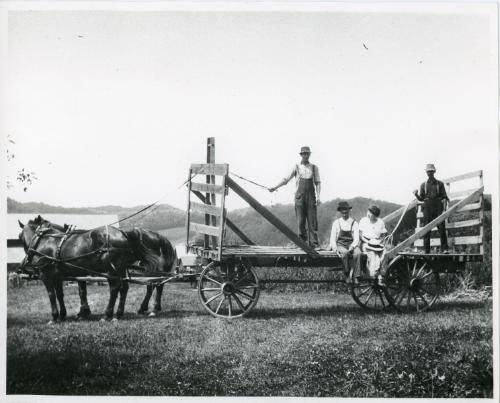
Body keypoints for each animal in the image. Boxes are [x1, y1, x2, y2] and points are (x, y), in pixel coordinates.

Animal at [18, 216, 172, 324]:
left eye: (19, 237)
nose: (25, 261)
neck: (47, 240)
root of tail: (124, 234)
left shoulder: (47, 275)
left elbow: (53, 295)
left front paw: (56, 317)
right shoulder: (58, 276)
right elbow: (61, 295)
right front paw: (63, 315)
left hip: (112, 269)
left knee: (119, 288)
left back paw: (108, 314)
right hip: (121, 268)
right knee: (127, 287)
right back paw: (120, 313)